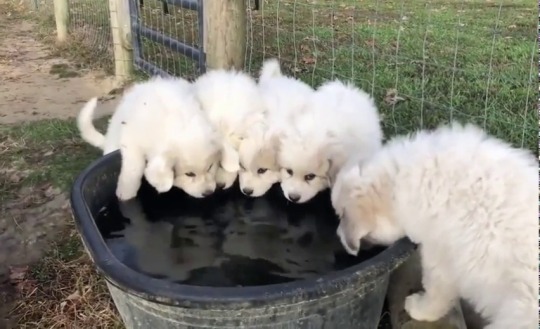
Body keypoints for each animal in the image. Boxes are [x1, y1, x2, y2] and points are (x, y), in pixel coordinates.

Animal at [78, 77, 234, 199]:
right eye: (189, 174)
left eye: (210, 167)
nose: (208, 193)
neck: (177, 123)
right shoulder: (132, 142)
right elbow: (134, 169)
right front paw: (126, 194)